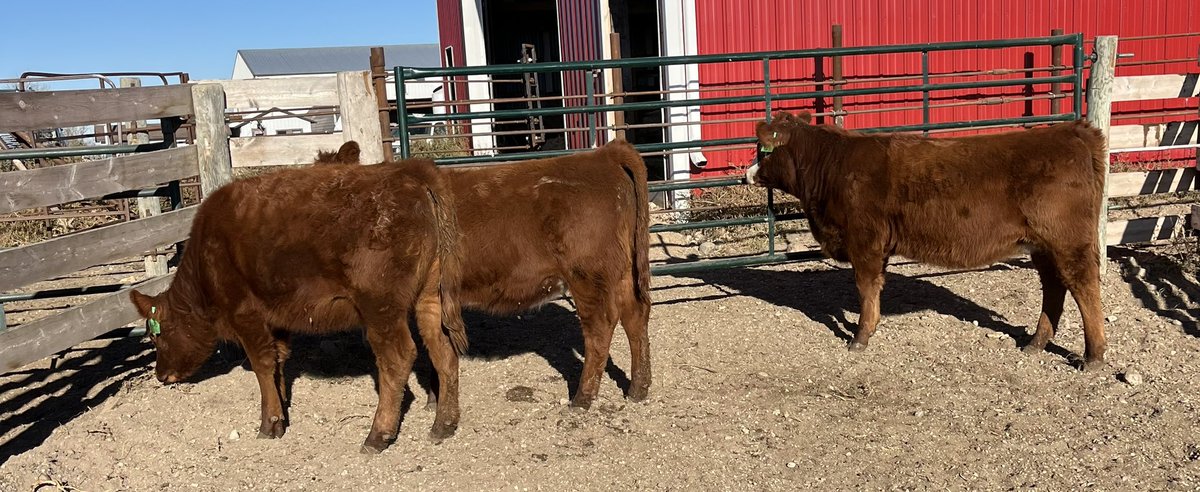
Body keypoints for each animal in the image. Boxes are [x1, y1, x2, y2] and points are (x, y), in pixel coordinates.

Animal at [128, 158, 467, 453]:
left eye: (157, 335)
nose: (161, 375)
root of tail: (411, 173)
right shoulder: (275, 320)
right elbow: (278, 362)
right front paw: (281, 413)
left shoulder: (245, 313)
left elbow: (262, 364)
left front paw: (268, 423)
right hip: (430, 298)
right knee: (444, 352)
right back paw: (444, 425)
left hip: (381, 306)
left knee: (398, 358)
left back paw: (377, 435)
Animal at [318, 140, 653, 408]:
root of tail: (604, 155)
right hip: (622, 271)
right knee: (634, 315)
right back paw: (638, 388)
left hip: (586, 273)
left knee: (600, 326)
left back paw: (582, 397)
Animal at [746, 111, 1108, 370]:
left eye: (763, 151)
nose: (746, 173)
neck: (833, 167)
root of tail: (1072, 131)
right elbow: (875, 287)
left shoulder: (864, 241)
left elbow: (865, 287)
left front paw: (860, 337)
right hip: (1042, 245)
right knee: (1054, 287)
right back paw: (1036, 343)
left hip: (1068, 241)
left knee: (1084, 286)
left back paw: (1093, 356)